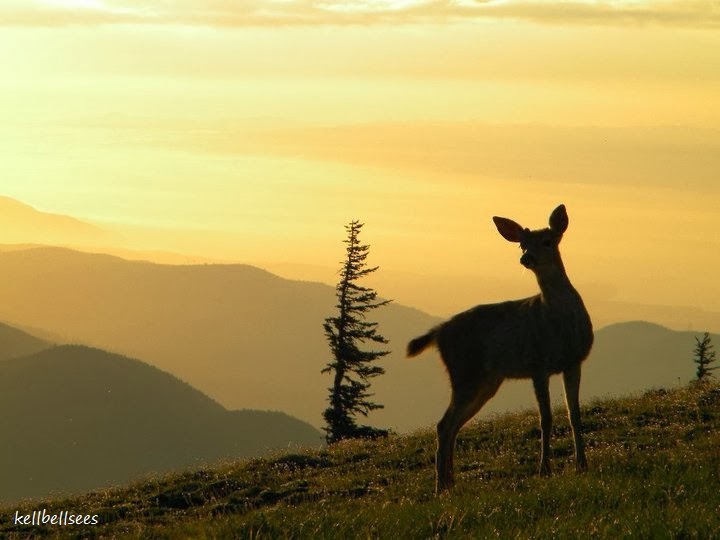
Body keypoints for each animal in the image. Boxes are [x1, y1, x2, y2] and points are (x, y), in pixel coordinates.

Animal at [407, 204, 593, 493]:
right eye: (522, 245)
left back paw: (451, 483)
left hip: (486, 381)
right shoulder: (537, 364)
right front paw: (544, 470)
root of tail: (439, 332)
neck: (558, 321)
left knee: (452, 425)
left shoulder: (573, 362)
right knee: (443, 424)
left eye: (547, 241)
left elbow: (574, 414)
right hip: (464, 372)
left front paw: (582, 466)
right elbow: (546, 418)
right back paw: (440, 487)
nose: (526, 258)